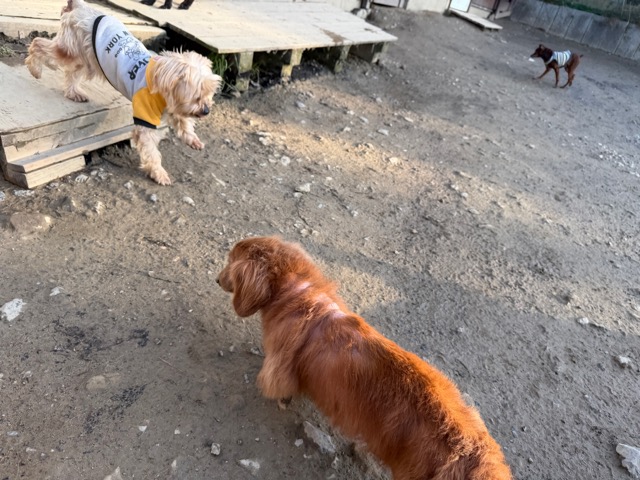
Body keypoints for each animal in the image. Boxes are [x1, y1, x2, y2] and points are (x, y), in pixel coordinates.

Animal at [25, 0, 221, 185]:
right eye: (197, 93)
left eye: (209, 93)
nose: (206, 111)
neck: (162, 85)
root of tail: (81, 6)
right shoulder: (146, 119)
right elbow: (151, 150)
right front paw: (158, 173)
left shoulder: (176, 107)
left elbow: (184, 122)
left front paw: (193, 139)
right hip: (69, 49)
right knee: (38, 43)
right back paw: (35, 69)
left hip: (85, 56)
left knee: (72, 72)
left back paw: (74, 93)